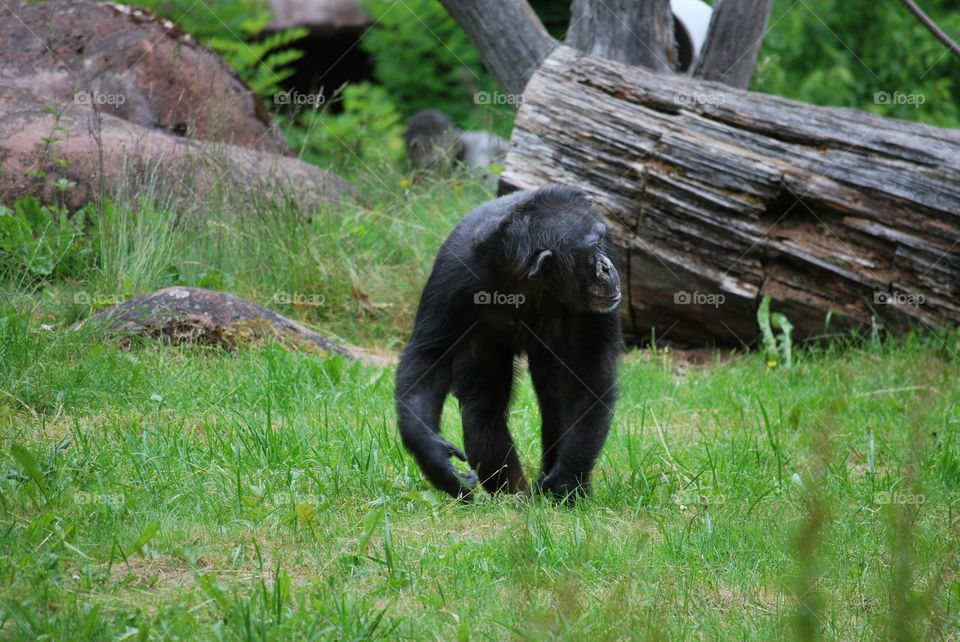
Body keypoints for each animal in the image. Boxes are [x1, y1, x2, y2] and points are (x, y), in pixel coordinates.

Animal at [392, 184, 624, 500]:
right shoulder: (453, 273)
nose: (606, 266)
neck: (528, 278)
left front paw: (567, 479)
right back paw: (508, 491)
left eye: (601, 242)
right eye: (590, 250)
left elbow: (588, 370)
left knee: (554, 400)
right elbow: (429, 355)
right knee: (483, 402)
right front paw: (435, 458)